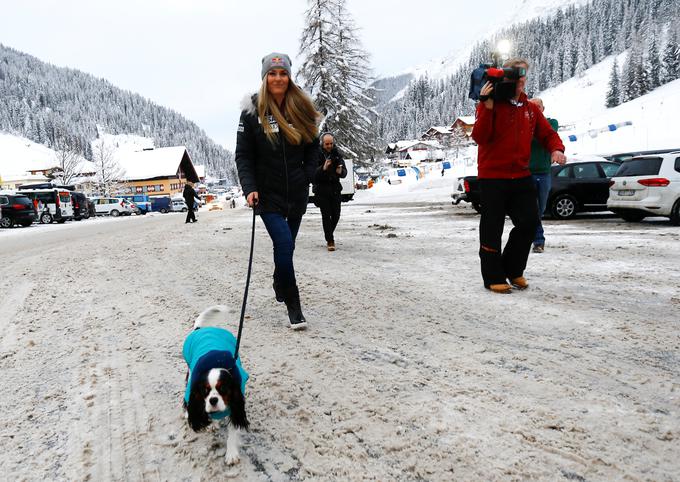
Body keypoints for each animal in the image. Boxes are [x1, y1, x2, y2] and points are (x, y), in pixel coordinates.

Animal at [183, 306, 250, 466]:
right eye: (204, 390)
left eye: (223, 389)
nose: (213, 400)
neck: (216, 362)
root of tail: (200, 329)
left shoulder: (236, 404)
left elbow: (233, 431)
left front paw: (231, 454)